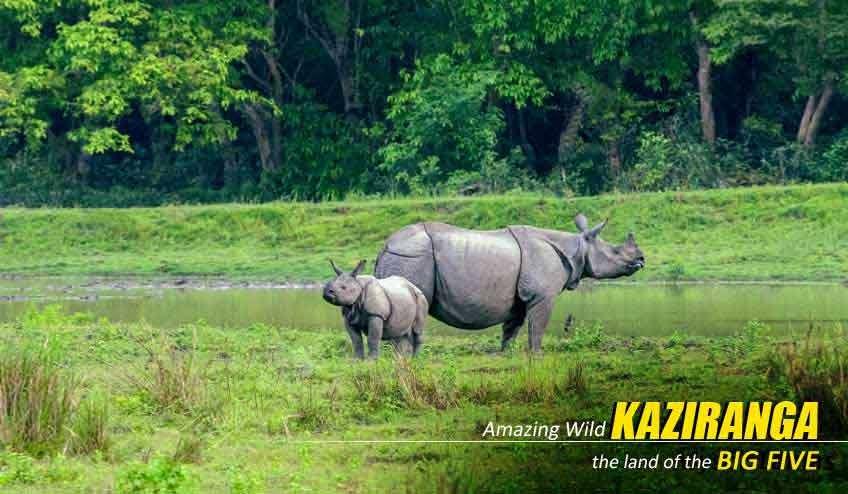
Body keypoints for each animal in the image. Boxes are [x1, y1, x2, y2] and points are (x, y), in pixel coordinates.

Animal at [374, 214, 645, 352]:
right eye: (617, 252)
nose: (641, 259)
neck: (577, 247)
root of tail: (385, 246)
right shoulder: (542, 296)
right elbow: (537, 328)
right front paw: (537, 357)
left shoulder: (519, 299)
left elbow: (511, 330)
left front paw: (505, 355)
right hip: (412, 256)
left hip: (405, 257)